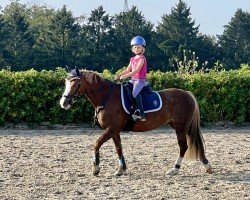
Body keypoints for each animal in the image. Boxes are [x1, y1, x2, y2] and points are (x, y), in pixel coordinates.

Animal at [59, 67, 212, 177]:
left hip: (181, 127)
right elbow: (119, 148)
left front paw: (96, 169)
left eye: (76, 83)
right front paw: (121, 169)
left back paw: (174, 169)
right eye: (66, 83)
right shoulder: (114, 130)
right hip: (178, 125)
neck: (106, 97)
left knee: (183, 146)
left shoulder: (111, 129)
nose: (63, 103)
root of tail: (187, 93)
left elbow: (96, 144)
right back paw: (206, 166)